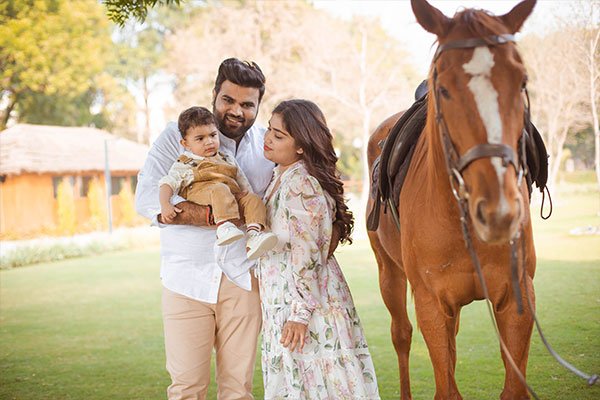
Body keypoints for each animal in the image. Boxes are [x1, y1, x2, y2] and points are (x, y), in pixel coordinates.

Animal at [366, 0, 540, 400]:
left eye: (521, 81)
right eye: (442, 89)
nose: (498, 211)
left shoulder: (519, 297)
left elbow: (513, 387)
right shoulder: (431, 304)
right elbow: (445, 387)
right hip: (389, 274)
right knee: (401, 335)